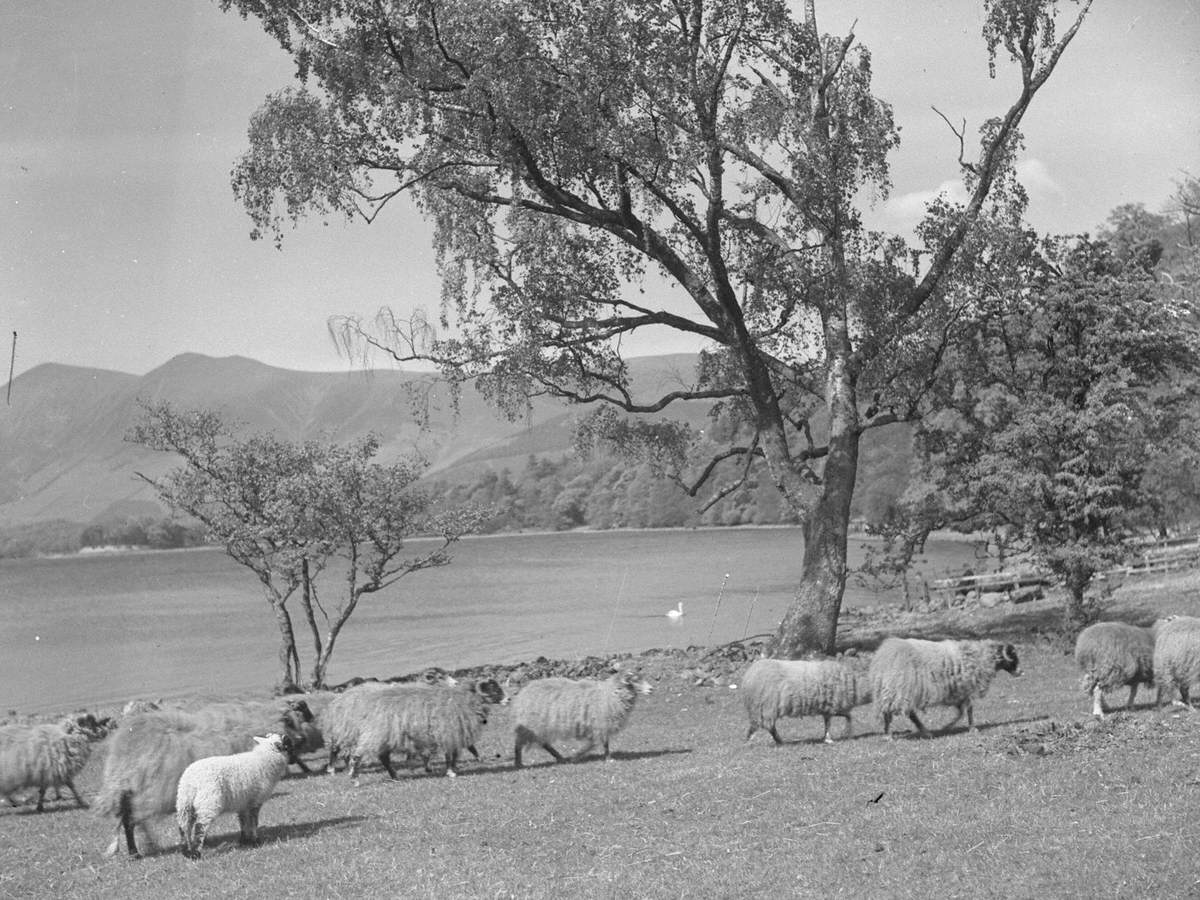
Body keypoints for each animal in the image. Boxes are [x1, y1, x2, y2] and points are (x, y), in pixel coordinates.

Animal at [93, 696, 314, 859]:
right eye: (290, 721)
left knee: (135, 821)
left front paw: (245, 839)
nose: (303, 740)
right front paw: (252, 839)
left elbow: (242, 816)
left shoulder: (242, 792)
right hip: (146, 796)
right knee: (130, 821)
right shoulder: (249, 790)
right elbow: (249, 818)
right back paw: (136, 851)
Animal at [511, 672, 652, 768]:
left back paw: (560, 758)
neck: (610, 694)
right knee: (521, 744)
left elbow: (603, 743)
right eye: (635, 680)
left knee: (544, 743)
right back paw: (519, 763)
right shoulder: (600, 723)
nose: (651, 689)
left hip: (538, 726)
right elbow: (597, 743)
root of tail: (524, 692)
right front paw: (578, 756)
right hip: (533, 726)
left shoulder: (600, 724)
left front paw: (606, 757)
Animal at [734, 657, 868, 748]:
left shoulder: (828, 708)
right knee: (764, 726)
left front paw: (828, 738)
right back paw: (754, 740)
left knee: (765, 726)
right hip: (765, 706)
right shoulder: (834, 705)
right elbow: (846, 717)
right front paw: (842, 734)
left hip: (761, 708)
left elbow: (832, 722)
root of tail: (748, 677)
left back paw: (776, 741)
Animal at [864, 633, 1022, 739]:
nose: (1021, 672)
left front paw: (957, 726)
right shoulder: (964, 689)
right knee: (900, 713)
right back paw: (901, 734)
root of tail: (883, 658)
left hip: (897, 691)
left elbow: (964, 710)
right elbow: (967, 710)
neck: (979, 657)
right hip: (901, 689)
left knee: (897, 712)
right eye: (1012, 656)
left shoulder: (958, 692)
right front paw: (965, 727)